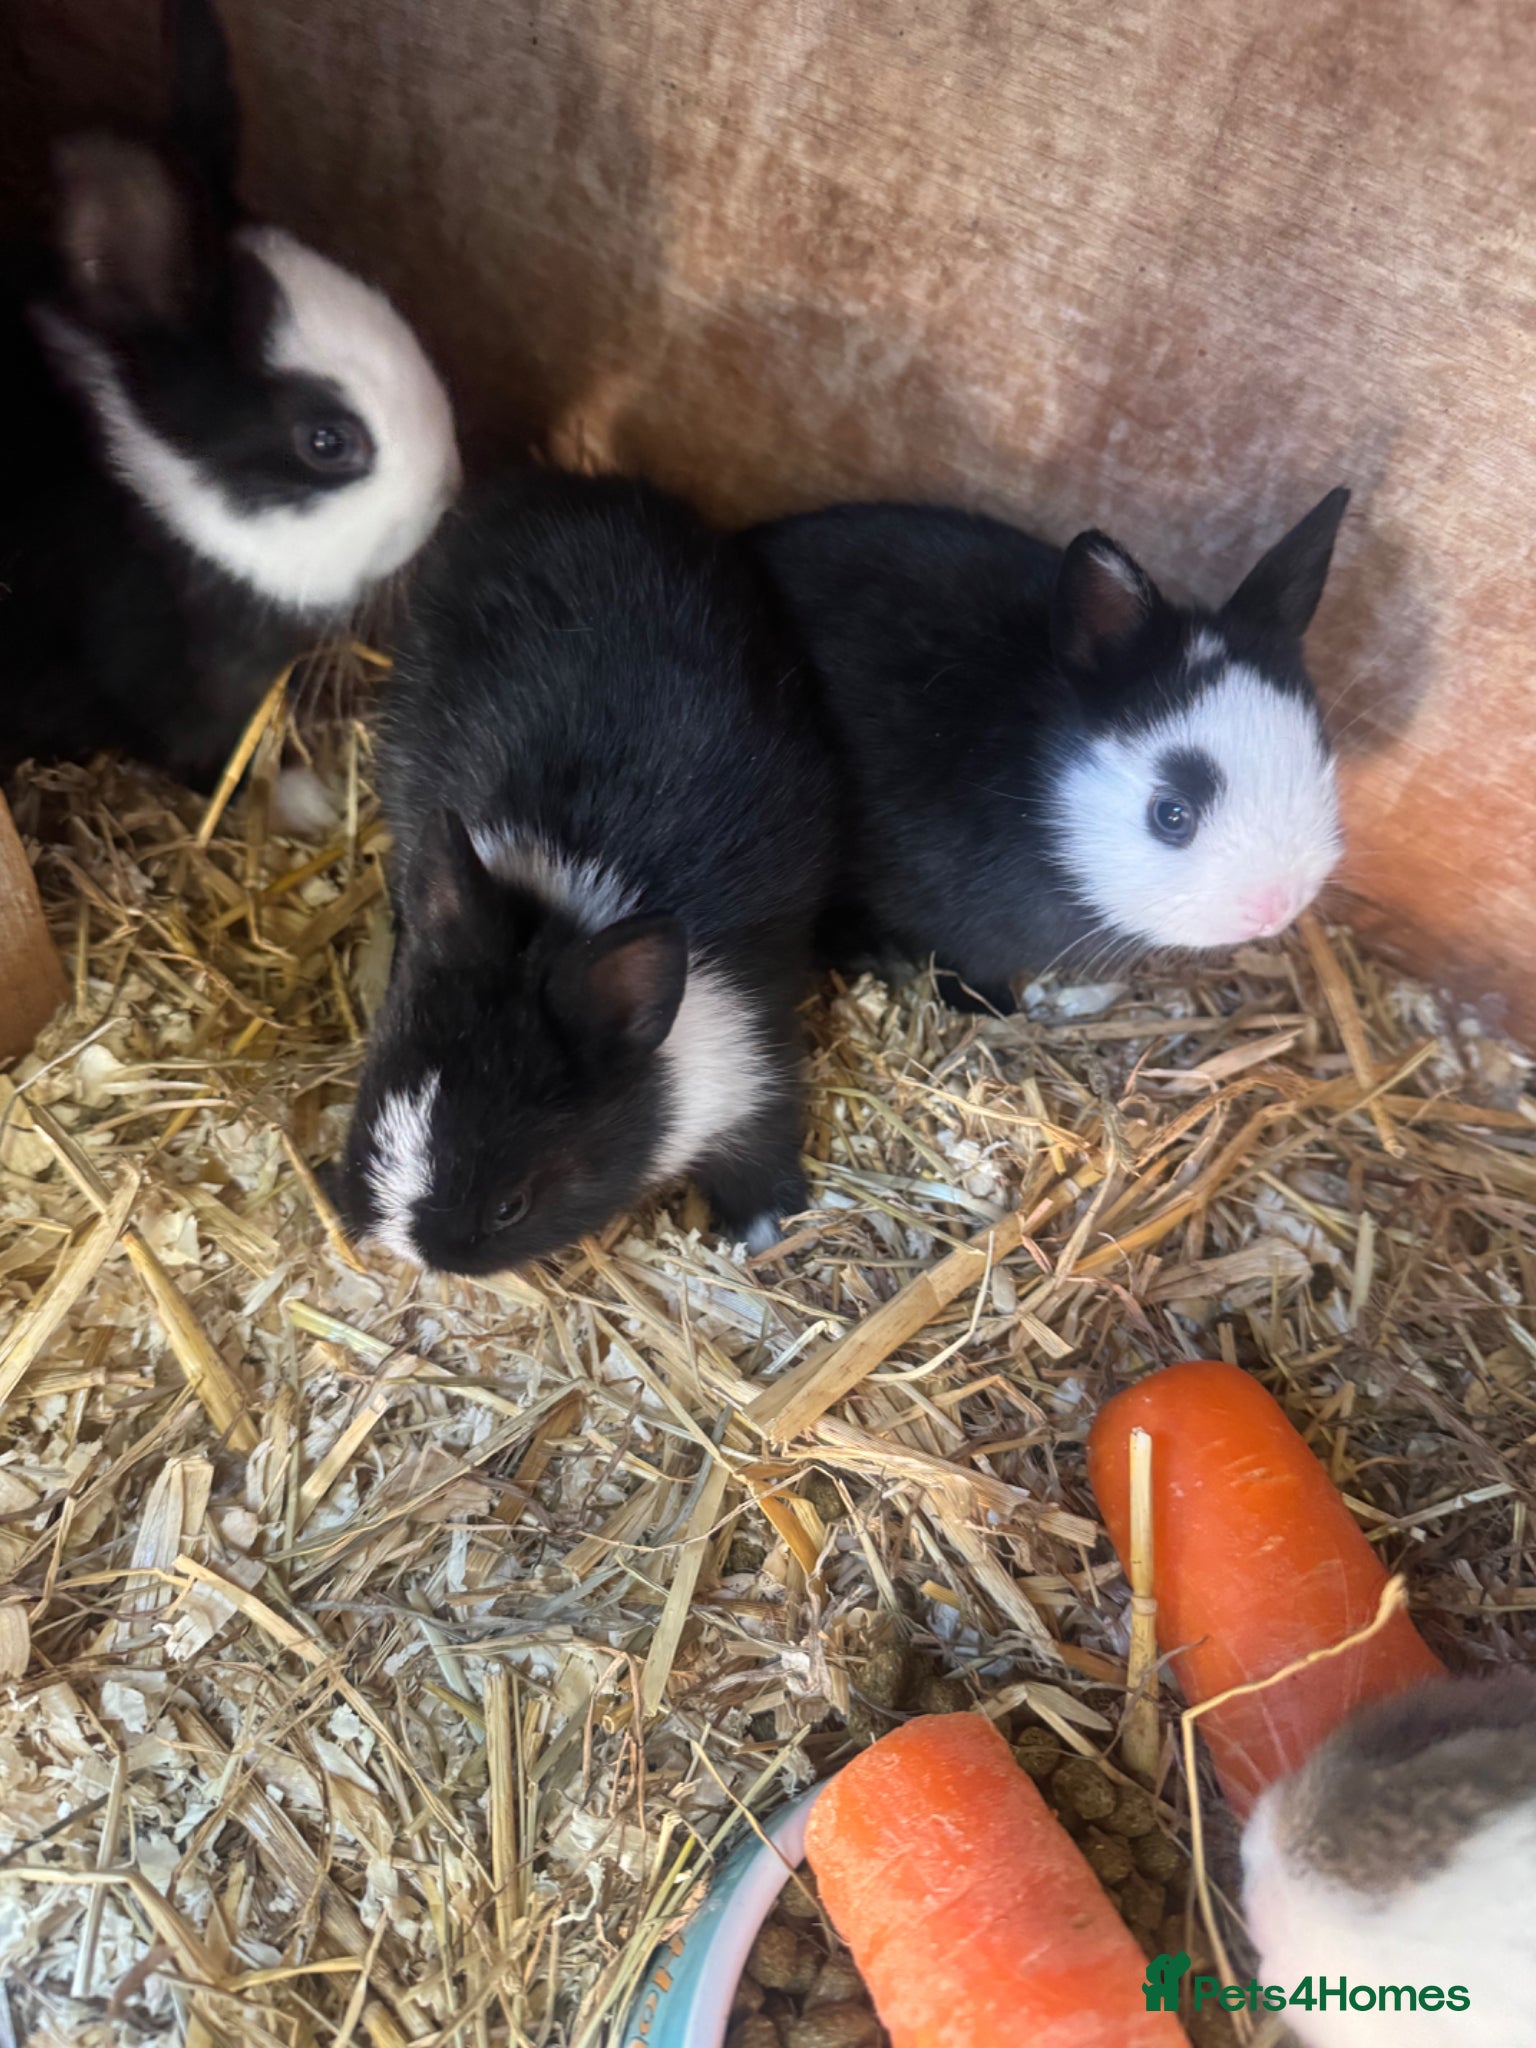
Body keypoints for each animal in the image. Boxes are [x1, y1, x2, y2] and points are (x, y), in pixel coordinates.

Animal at [332, 467, 838, 1276]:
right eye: (369, 1121)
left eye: (511, 1206)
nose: (417, 1255)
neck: (569, 912)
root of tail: (554, 484)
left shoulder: (751, 1065)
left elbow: (758, 1148)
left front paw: (767, 1229)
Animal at [747, 488, 1349, 1013]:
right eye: (1171, 814)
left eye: (1318, 758)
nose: (1276, 906)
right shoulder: (959, 933)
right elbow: (964, 970)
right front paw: (993, 1010)